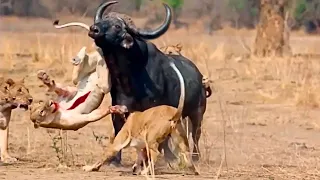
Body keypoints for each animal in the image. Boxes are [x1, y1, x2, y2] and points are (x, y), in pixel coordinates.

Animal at [89, 0, 211, 167]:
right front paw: (115, 160)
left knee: (195, 134)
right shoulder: (118, 108)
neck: (130, 76)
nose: (94, 29)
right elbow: (119, 130)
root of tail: (199, 76)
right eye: (104, 19)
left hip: (197, 113)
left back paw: (194, 157)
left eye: (117, 26)